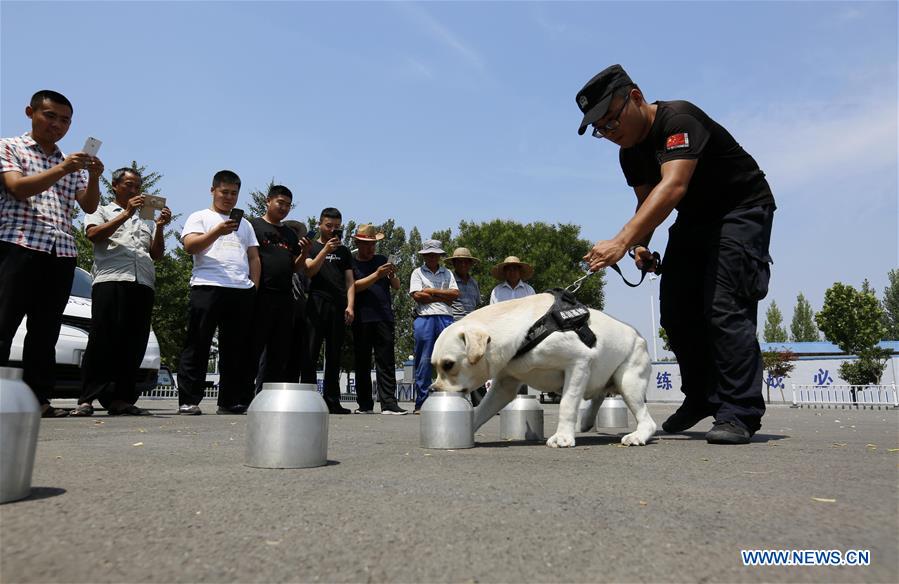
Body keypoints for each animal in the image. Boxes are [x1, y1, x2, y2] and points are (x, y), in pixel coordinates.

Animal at [432, 292, 656, 448]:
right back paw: (585, 422)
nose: (433, 389)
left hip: (628, 382)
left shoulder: (579, 362)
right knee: (599, 394)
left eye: (448, 364)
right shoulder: (504, 385)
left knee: (646, 420)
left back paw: (637, 436)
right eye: (434, 366)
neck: (527, 330)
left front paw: (563, 437)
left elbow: (567, 403)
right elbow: (482, 410)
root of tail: (640, 338)